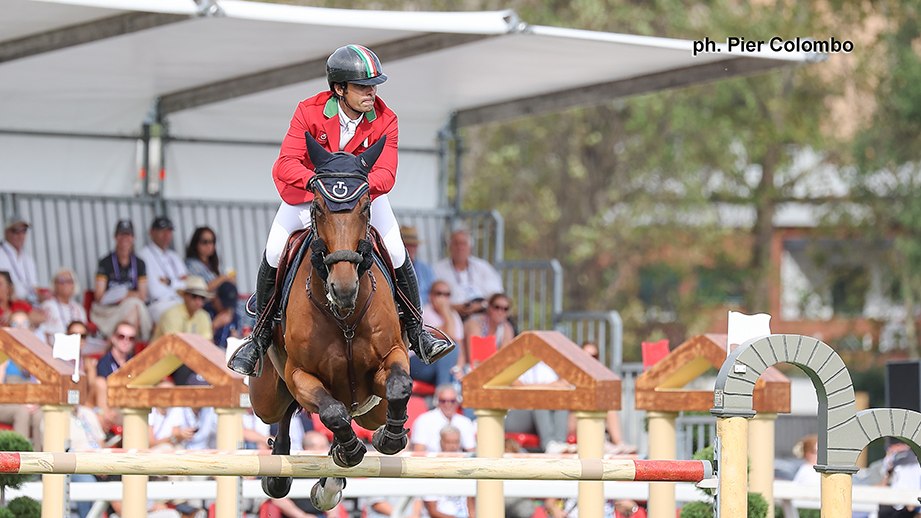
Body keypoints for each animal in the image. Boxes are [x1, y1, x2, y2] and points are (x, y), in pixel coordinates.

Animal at [250, 133, 412, 512]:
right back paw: (284, 478)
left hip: (370, 408)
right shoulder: (300, 376)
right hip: (266, 397)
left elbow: (400, 386)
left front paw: (388, 438)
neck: (345, 316)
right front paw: (349, 451)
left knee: (366, 414)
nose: (343, 288)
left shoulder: (390, 359)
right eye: (316, 208)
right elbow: (332, 413)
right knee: (282, 414)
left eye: (365, 207)